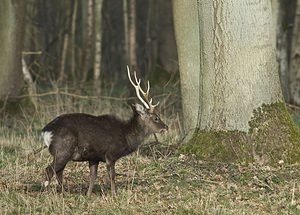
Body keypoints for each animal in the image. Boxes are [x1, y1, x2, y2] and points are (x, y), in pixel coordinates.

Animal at [41, 66, 169, 196]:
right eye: (156, 118)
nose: (166, 127)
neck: (126, 136)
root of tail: (45, 132)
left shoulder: (94, 157)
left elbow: (93, 176)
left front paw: (88, 195)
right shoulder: (110, 154)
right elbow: (112, 176)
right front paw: (114, 195)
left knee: (59, 172)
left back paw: (64, 193)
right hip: (62, 150)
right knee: (49, 170)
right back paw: (45, 193)